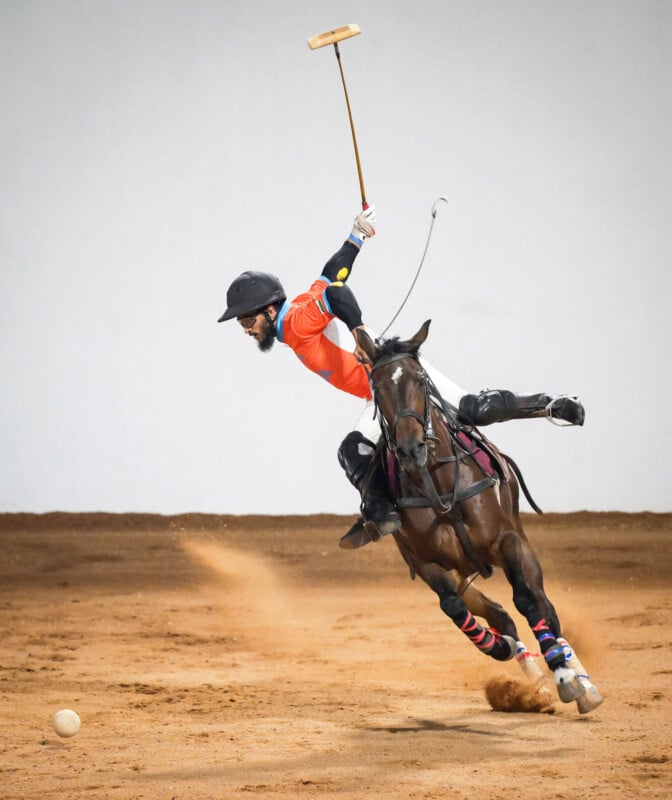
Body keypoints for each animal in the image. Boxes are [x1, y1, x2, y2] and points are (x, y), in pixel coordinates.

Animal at [355, 320, 603, 714]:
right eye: (377, 387)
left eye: (420, 379)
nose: (410, 448)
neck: (440, 489)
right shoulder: (427, 565)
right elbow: (455, 608)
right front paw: (499, 646)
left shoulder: (509, 541)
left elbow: (528, 600)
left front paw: (567, 679)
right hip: (463, 572)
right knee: (499, 613)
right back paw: (533, 682)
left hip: (520, 552)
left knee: (545, 607)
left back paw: (580, 681)